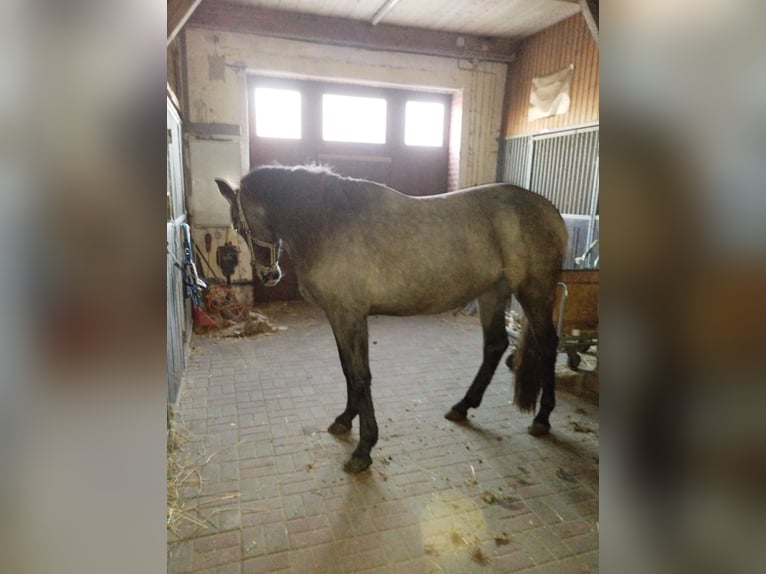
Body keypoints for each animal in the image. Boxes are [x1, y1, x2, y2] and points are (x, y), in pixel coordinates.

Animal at [213, 164, 568, 474]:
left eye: (239, 225)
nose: (269, 275)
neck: (329, 222)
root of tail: (550, 211)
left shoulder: (350, 316)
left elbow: (360, 376)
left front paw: (363, 449)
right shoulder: (339, 316)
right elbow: (348, 370)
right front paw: (345, 420)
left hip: (534, 293)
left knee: (548, 345)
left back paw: (542, 418)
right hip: (492, 293)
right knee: (495, 346)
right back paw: (463, 406)